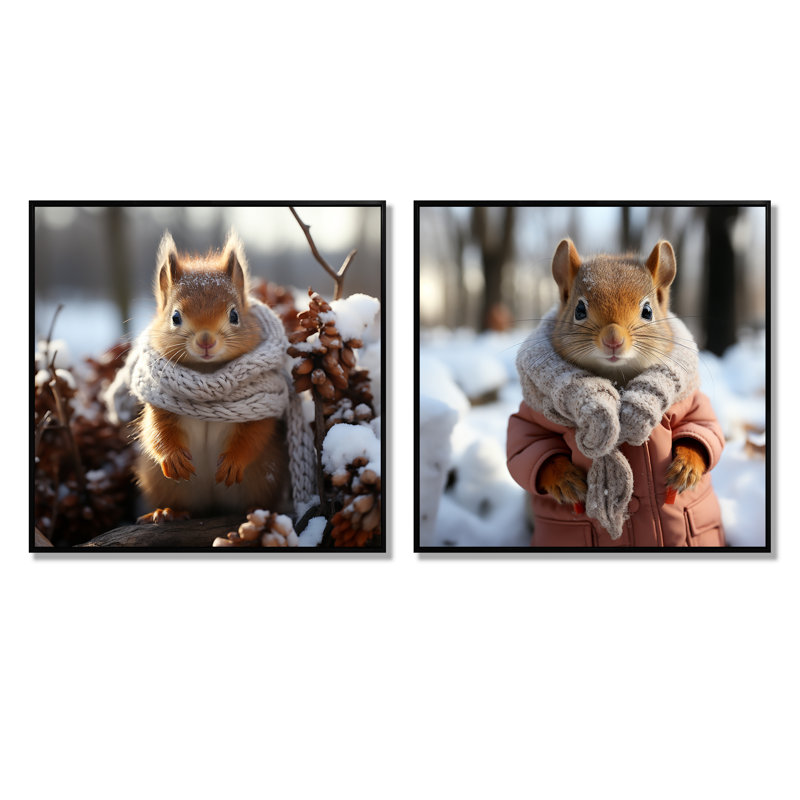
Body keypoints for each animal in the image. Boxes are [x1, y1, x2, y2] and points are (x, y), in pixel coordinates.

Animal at [135, 232, 288, 524]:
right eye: (175, 317)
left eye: (234, 315)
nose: (206, 340)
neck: (207, 372)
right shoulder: (159, 405)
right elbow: (157, 431)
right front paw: (173, 458)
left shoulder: (259, 405)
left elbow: (255, 434)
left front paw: (233, 462)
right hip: (163, 484)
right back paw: (167, 512)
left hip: (263, 478)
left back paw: (257, 512)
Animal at [536, 238, 710, 508]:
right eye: (579, 310)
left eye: (647, 311)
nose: (613, 339)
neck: (617, 376)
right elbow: (534, 443)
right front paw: (563, 478)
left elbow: (700, 426)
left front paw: (686, 466)